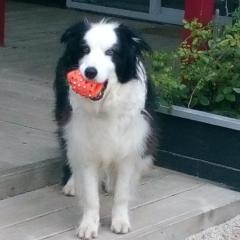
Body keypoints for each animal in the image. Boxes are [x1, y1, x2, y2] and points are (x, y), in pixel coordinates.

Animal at [54, 19, 156, 239]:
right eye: (85, 49)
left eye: (111, 52)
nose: (90, 72)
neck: (104, 106)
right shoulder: (85, 143)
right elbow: (91, 196)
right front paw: (88, 226)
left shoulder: (129, 147)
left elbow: (122, 193)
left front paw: (120, 222)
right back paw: (72, 184)